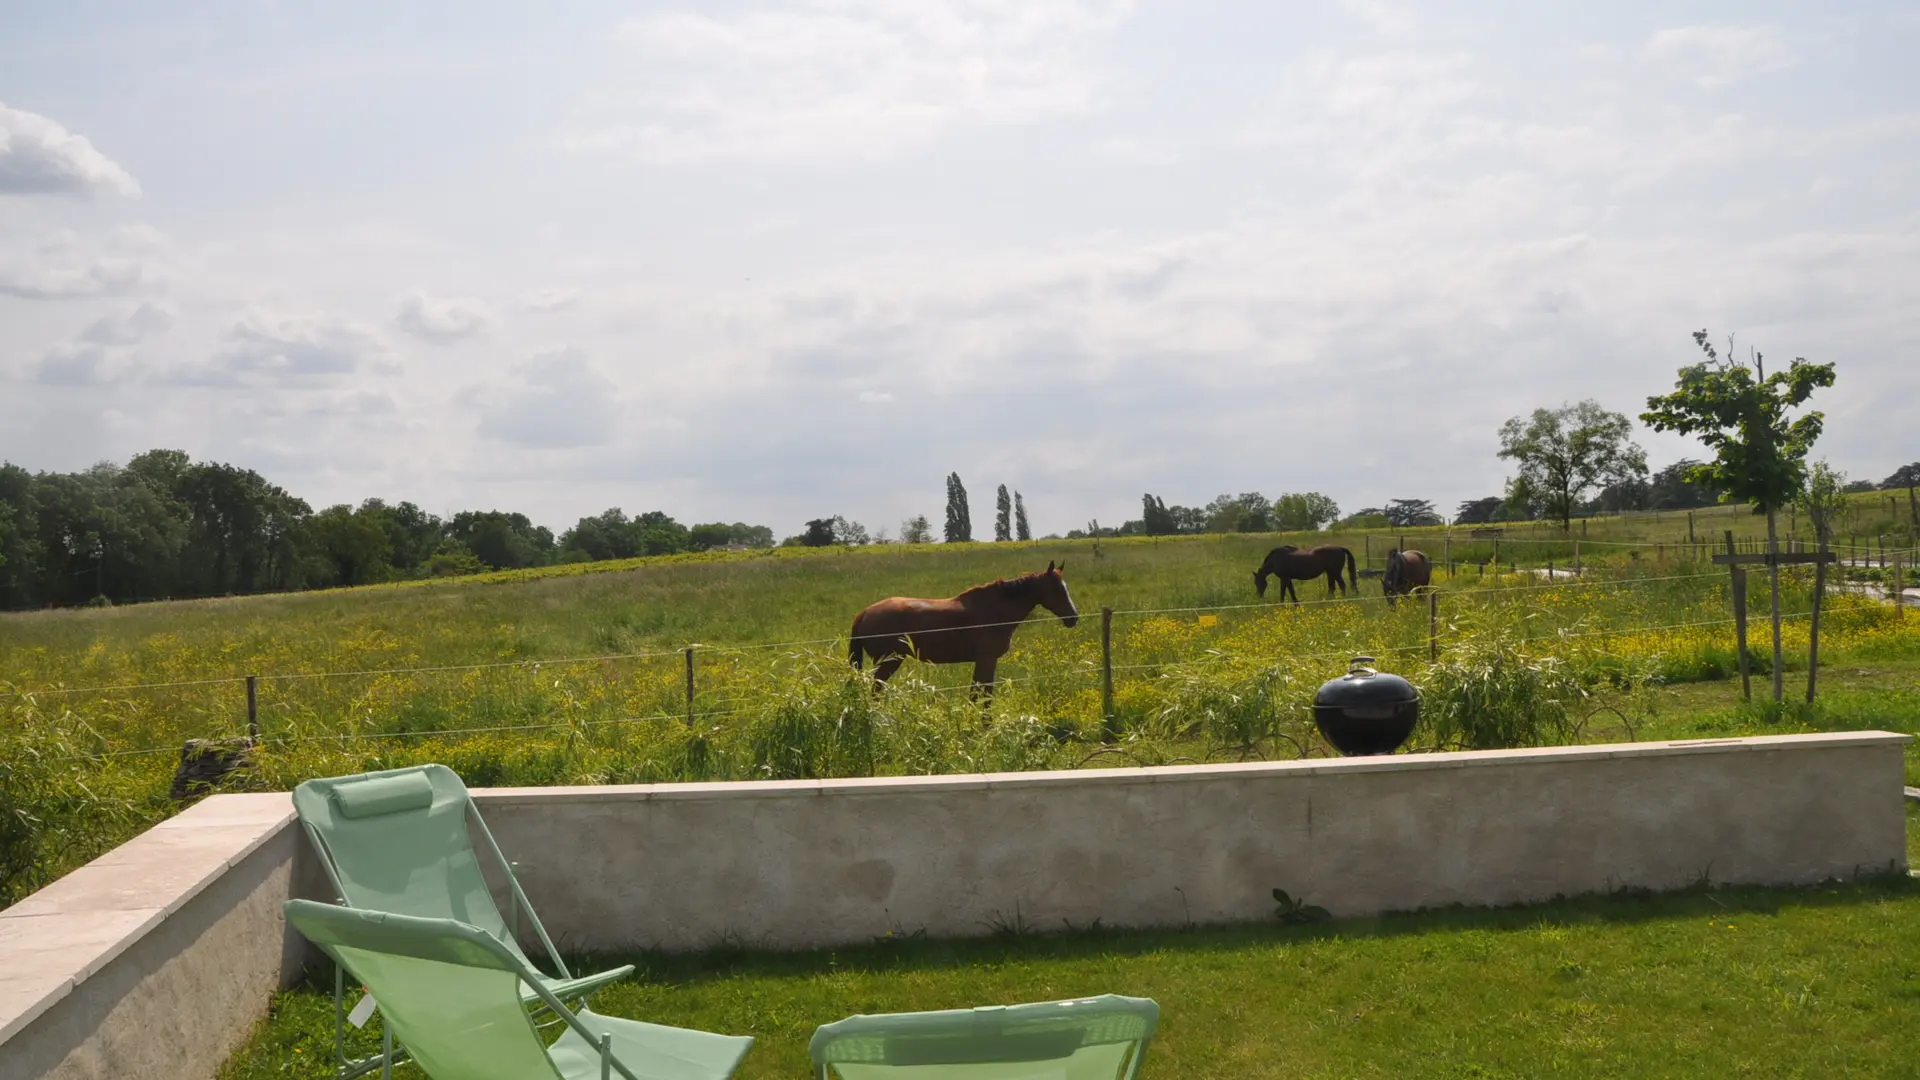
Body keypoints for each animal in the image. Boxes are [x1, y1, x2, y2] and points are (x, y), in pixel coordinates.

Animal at [849, 561, 1079, 701]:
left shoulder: (983, 661)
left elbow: (977, 693)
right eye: (1057, 589)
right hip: (889, 661)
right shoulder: (987, 659)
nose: (1073, 618)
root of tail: (863, 613)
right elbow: (983, 695)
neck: (995, 608)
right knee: (875, 689)